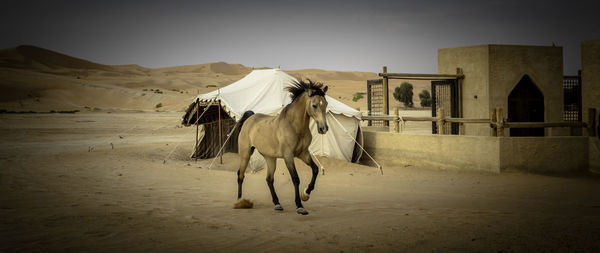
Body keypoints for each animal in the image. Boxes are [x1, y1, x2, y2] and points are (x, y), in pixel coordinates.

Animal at [234, 79, 328, 215]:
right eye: (314, 105)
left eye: (325, 104)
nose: (323, 128)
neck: (294, 126)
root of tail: (250, 118)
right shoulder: (288, 156)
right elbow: (295, 178)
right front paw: (300, 206)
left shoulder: (303, 153)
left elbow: (315, 169)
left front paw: (306, 194)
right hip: (246, 154)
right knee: (240, 175)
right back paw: (240, 202)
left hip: (270, 158)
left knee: (269, 179)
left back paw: (277, 204)